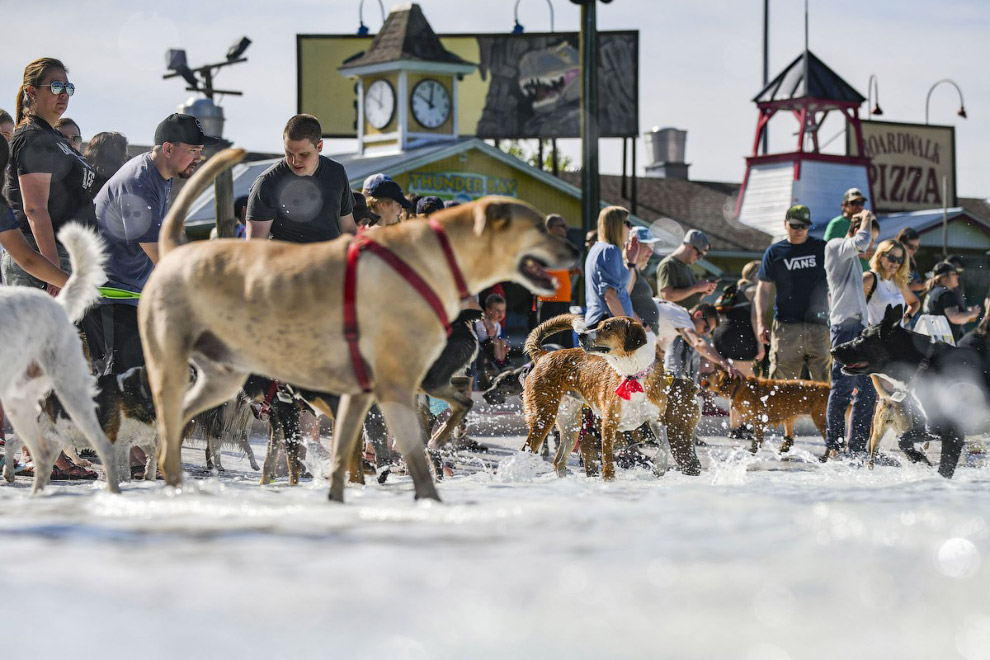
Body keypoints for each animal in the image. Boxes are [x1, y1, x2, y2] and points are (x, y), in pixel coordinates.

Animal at [520, 314, 704, 480]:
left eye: (607, 327)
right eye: (599, 324)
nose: (581, 335)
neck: (632, 376)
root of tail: (544, 355)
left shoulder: (656, 420)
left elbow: (664, 444)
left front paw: (659, 466)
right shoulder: (608, 424)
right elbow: (607, 457)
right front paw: (609, 480)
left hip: (571, 425)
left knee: (559, 461)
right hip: (543, 418)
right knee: (526, 451)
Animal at [700, 368, 832, 456]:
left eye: (713, 373)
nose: (702, 373)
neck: (739, 387)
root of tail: (829, 387)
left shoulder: (759, 420)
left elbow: (757, 438)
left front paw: (753, 450)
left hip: (820, 419)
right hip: (791, 415)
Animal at [832, 304, 988, 480]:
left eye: (861, 338)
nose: (832, 350)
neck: (924, 362)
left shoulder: (950, 431)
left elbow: (944, 470)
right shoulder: (933, 427)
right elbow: (903, 440)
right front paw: (916, 457)